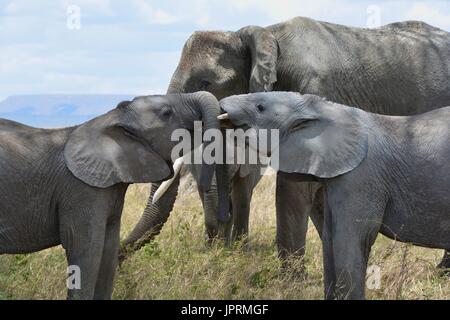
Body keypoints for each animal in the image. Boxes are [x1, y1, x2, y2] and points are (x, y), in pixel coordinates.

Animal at [122, 15, 450, 270]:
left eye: (206, 83)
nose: (121, 256)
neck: (265, 36)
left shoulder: (317, 96)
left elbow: (295, 186)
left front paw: (290, 282)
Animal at [221, 91, 450, 298]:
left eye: (260, 107)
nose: (222, 105)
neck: (323, 108)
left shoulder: (361, 177)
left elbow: (350, 243)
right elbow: (330, 242)